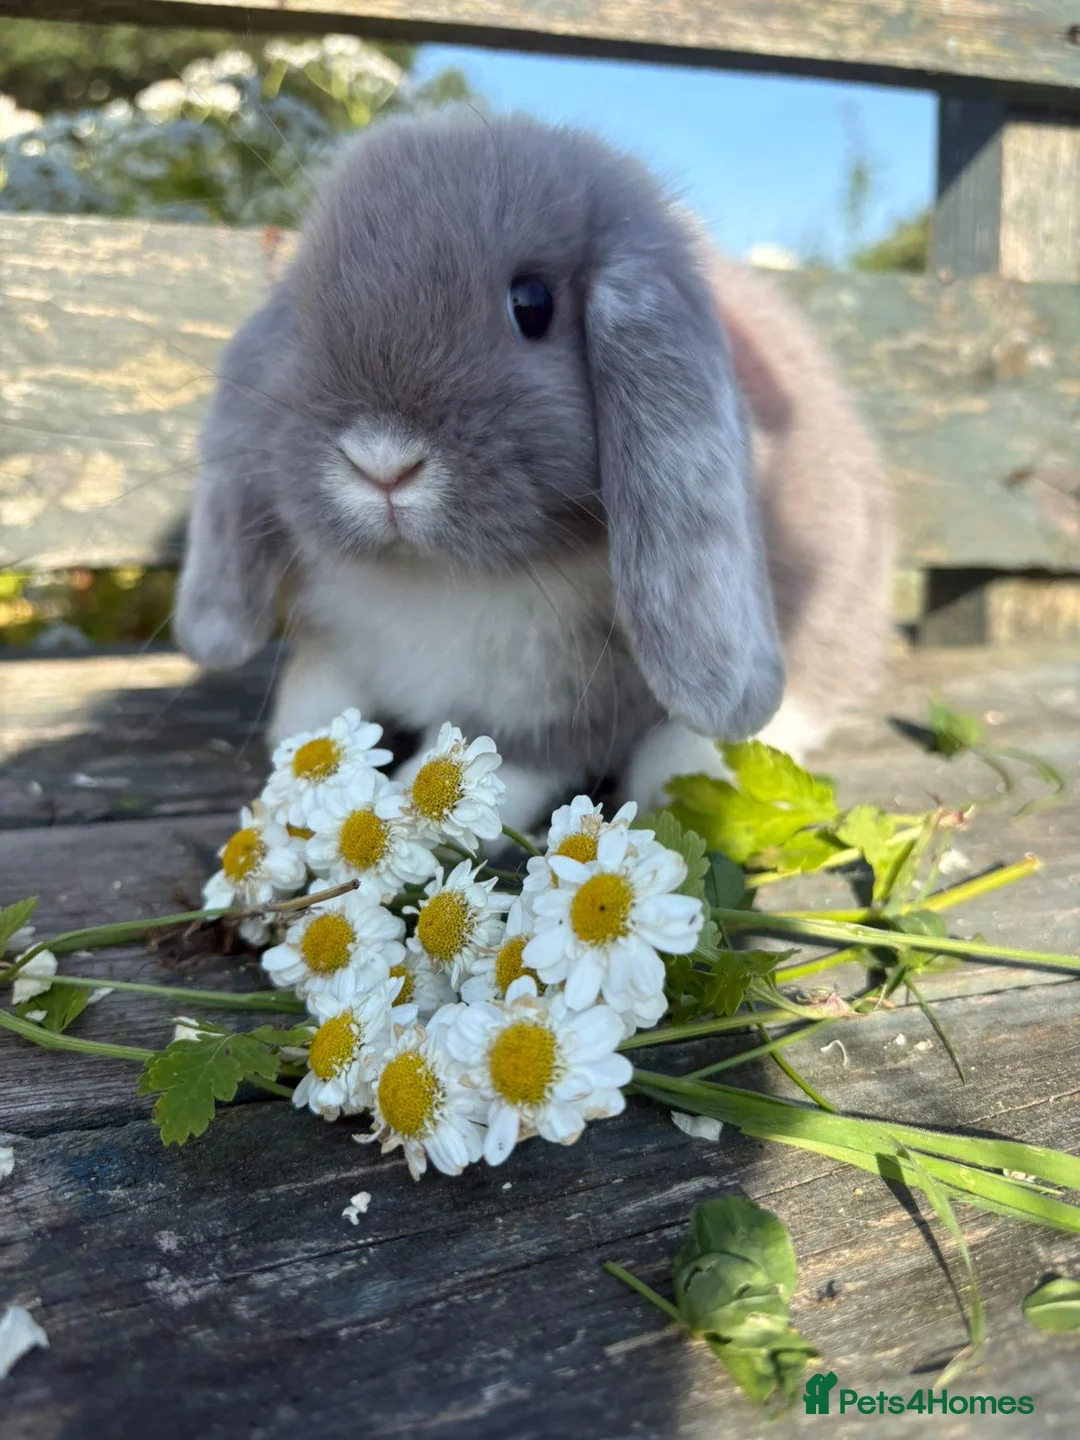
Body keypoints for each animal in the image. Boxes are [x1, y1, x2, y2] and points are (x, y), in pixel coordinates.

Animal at [175, 108, 892, 835]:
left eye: (532, 303)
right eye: (302, 310)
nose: (382, 462)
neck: (434, 579)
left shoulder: (568, 702)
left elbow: (506, 759)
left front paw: (407, 803)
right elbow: (318, 696)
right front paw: (296, 757)